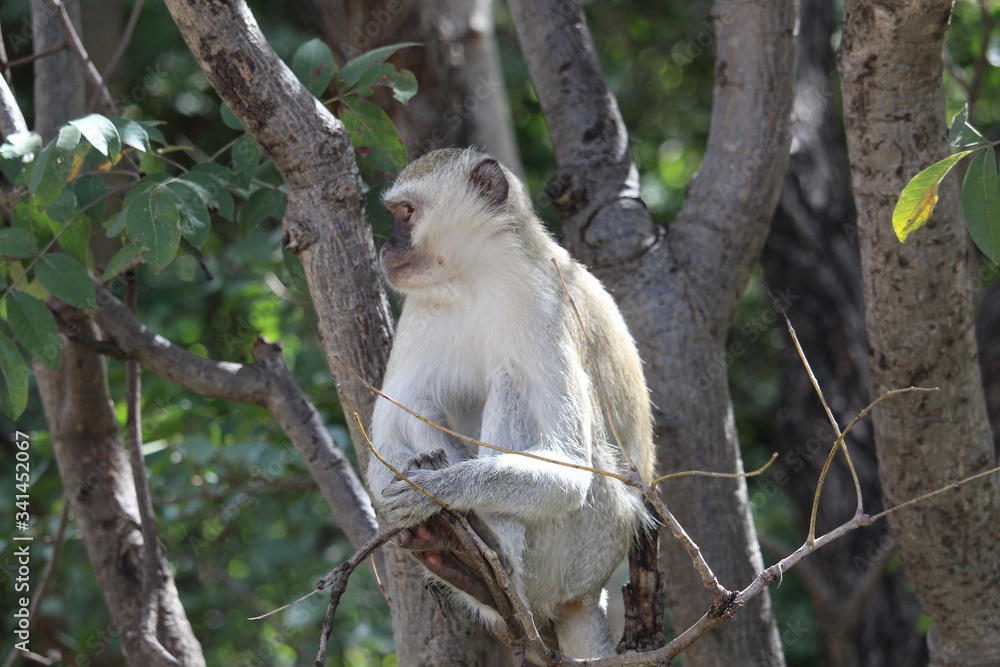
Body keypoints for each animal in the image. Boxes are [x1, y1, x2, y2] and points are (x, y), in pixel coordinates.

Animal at [366, 147, 655, 659]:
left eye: (406, 213)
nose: (386, 247)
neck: (476, 278)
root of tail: (590, 594)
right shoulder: (420, 310)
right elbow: (383, 442)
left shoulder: (547, 308)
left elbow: (570, 469)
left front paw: (434, 489)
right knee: (423, 402)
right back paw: (457, 561)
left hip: (587, 542)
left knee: (511, 382)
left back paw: (493, 560)